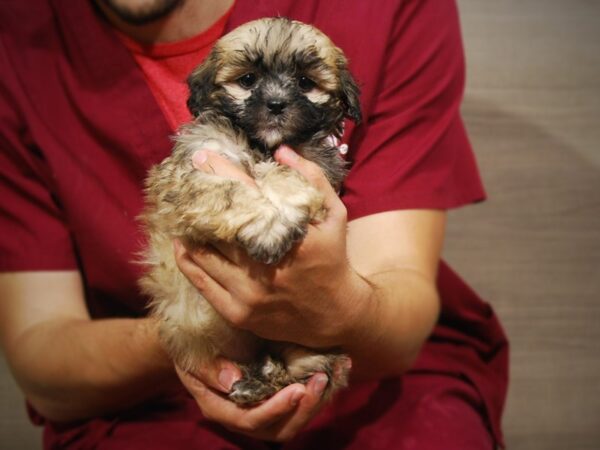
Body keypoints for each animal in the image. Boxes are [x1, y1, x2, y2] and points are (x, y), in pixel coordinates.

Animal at [141, 17, 360, 404]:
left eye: (305, 83)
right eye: (247, 80)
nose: (276, 104)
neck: (262, 146)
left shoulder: (315, 167)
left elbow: (287, 176)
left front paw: (277, 212)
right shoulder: (195, 166)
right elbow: (230, 191)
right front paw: (267, 226)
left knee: (310, 367)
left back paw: (263, 379)